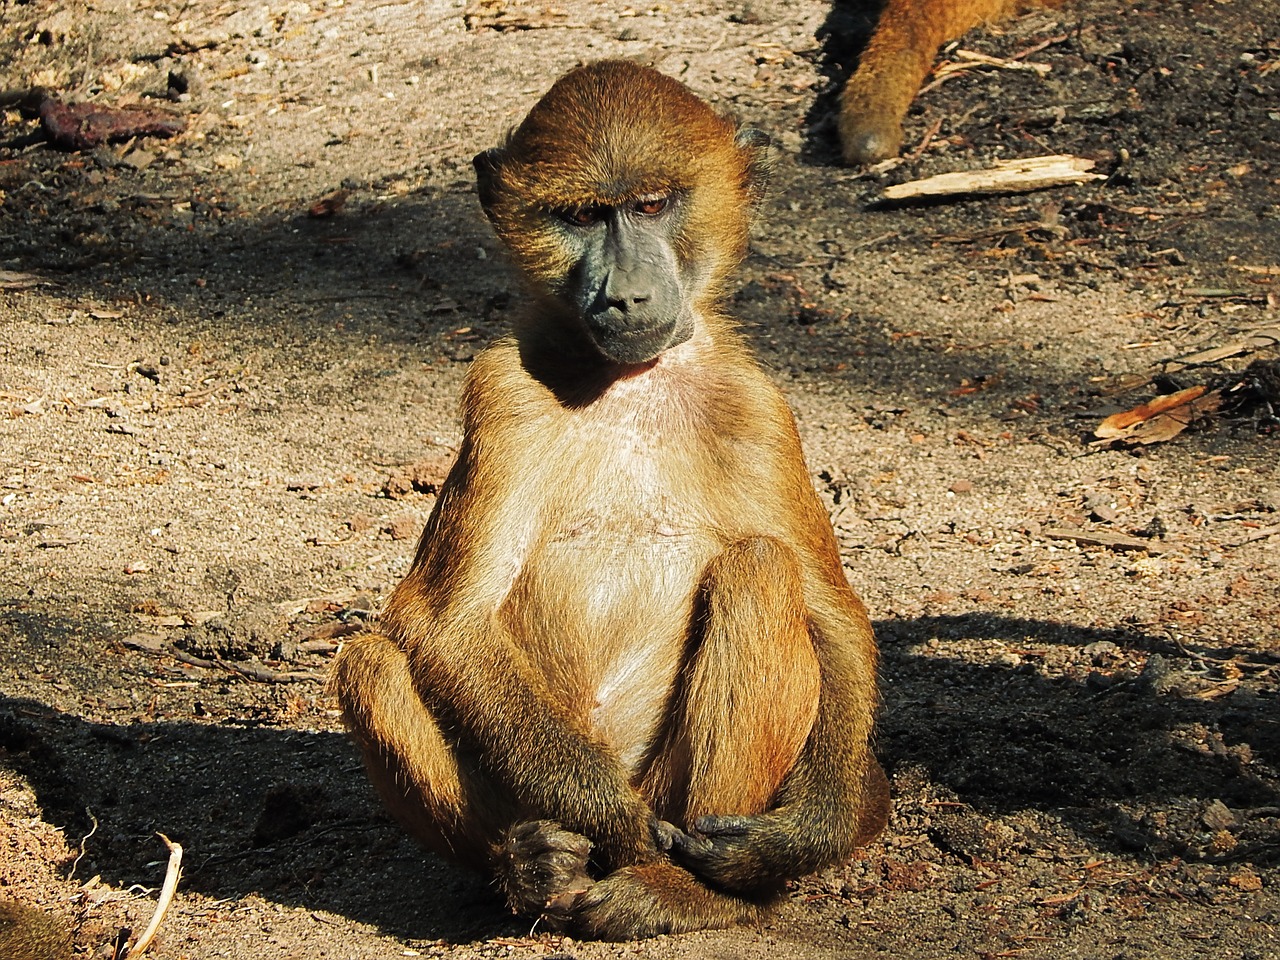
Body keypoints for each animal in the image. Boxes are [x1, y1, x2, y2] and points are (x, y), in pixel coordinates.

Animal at [330, 60, 890, 942]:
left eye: (652, 205)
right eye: (584, 215)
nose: (626, 296)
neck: (629, 382)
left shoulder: (762, 411)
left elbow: (832, 617)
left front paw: (804, 836)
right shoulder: (502, 396)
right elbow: (445, 619)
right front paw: (613, 828)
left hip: (682, 793)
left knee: (760, 571)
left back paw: (690, 891)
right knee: (372, 661)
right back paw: (531, 870)